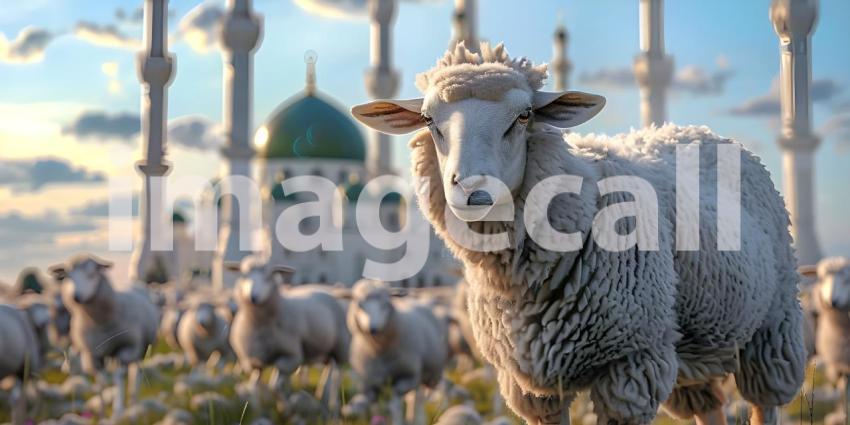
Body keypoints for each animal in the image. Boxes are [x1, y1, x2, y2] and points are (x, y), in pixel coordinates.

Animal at [48, 254, 159, 419]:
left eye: (92, 274)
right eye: (68, 276)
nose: (76, 297)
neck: (101, 323)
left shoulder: (125, 347)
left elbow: (119, 377)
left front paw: (118, 410)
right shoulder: (92, 354)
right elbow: (100, 381)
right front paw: (101, 412)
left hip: (140, 347)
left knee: (136, 373)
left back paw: (134, 402)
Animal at [227, 255, 350, 407]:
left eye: (269, 276)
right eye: (244, 275)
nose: (253, 297)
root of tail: (332, 288)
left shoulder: (291, 356)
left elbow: (275, 386)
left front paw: (284, 406)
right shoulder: (254, 359)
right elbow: (254, 386)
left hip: (340, 347)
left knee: (337, 376)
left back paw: (332, 403)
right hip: (325, 349)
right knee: (328, 372)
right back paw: (321, 394)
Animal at [344, 279, 450, 425]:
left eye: (385, 304)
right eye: (360, 305)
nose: (373, 328)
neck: (379, 351)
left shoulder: (405, 377)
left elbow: (395, 406)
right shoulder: (371, 384)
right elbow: (376, 408)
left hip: (427, 375)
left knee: (420, 399)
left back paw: (419, 419)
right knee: (413, 399)